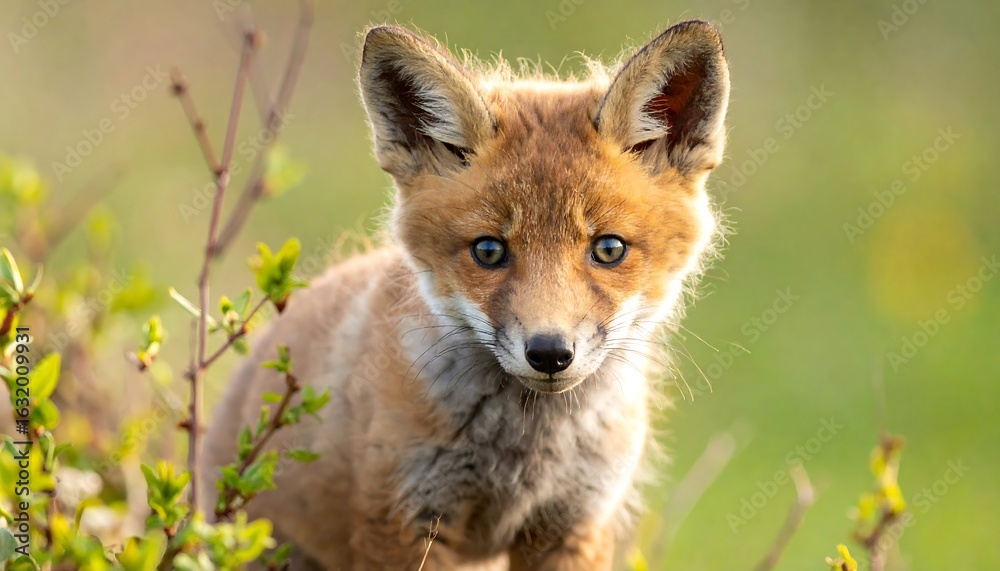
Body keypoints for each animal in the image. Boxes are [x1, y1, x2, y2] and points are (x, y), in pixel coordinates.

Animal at [202, 19, 731, 570]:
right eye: (489, 250)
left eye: (608, 249)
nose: (549, 353)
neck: (524, 451)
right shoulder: (404, 518)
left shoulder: (575, 523)